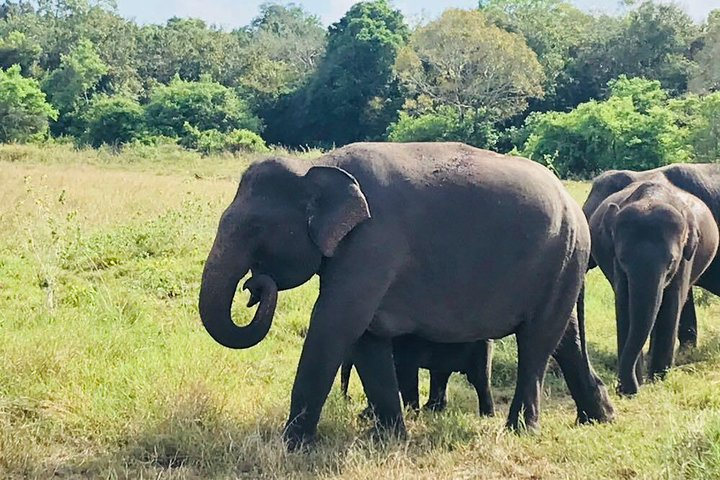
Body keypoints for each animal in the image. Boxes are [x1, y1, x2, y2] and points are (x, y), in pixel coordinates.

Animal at [340, 338, 492, 416]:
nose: (347, 399)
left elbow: (405, 372)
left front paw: (412, 414)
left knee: (479, 379)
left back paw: (486, 416)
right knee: (439, 374)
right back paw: (431, 409)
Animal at [588, 178, 716, 396]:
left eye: (671, 262)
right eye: (622, 258)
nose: (625, 390)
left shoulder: (685, 258)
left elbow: (672, 303)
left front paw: (657, 380)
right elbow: (624, 303)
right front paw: (634, 384)